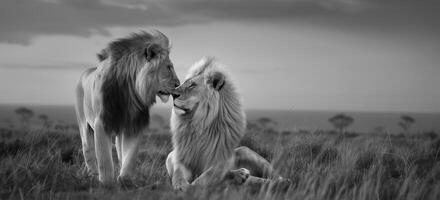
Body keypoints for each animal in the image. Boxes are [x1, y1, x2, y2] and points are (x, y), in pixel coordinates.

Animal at [75, 30, 180, 185]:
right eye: (169, 67)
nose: (178, 84)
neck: (129, 91)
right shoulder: (102, 122)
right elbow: (104, 157)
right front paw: (106, 182)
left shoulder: (134, 124)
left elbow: (130, 155)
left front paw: (125, 179)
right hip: (84, 124)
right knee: (88, 148)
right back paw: (92, 174)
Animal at [165, 57, 282, 190]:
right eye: (184, 83)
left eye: (192, 85)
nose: (173, 94)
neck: (197, 124)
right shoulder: (177, 158)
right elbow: (178, 174)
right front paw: (181, 186)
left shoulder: (221, 160)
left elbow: (207, 176)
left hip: (248, 153)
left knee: (278, 178)